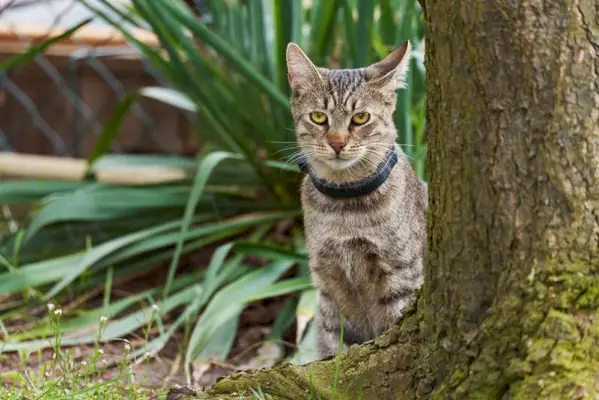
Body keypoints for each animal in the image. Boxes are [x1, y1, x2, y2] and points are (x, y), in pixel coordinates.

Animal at [288, 41, 428, 360]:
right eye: (319, 117)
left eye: (360, 118)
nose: (337, 143)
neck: (345, 207)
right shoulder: (327, 280)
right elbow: (337, 342)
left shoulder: (402, 275)